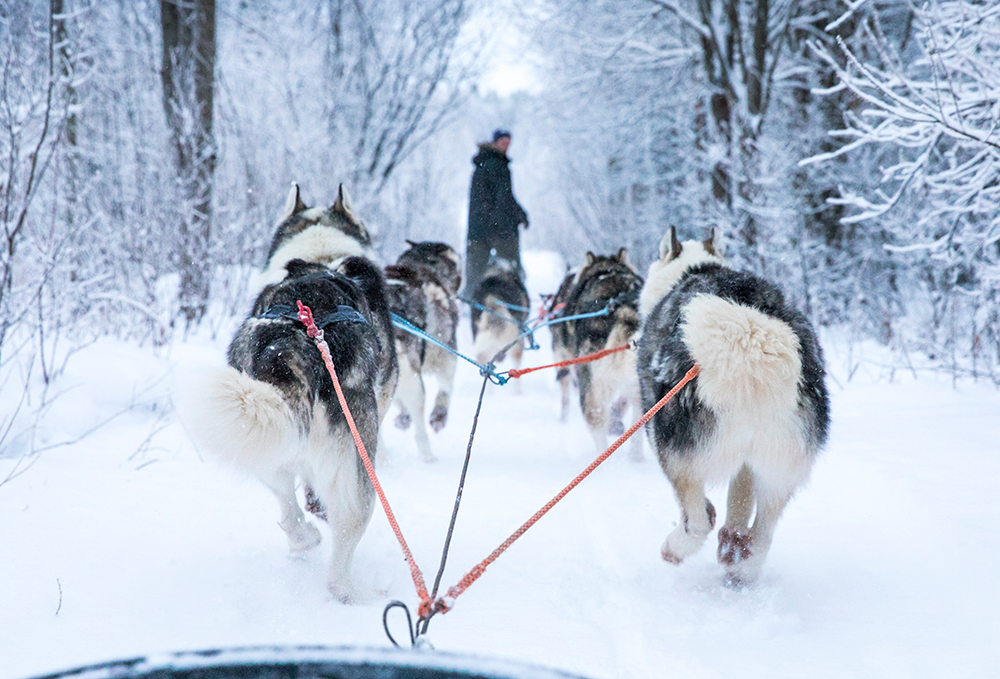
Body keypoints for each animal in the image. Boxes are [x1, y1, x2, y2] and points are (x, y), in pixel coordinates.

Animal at [180, 183, 398, 604]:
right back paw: (353, 593)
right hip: (360, 462)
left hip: (261, 436)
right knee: (346, 533)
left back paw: (305, 538)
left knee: (286, 500)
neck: (320, 257)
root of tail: (295, 338)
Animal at [384, 240, 462, 462]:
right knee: (420, 428)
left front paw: (403, 417)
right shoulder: (447, 356)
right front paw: (439, 415)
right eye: (457, 263)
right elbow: (446, 389)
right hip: (414, 382)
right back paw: (428, 456)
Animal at [636, 227, 832, 584]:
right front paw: (733, 537)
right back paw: (741, 563)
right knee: (764, 533)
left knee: (698, 521)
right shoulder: (748, 460)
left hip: (673, 443)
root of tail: (752, 335)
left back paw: (677, 547)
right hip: (782, 463)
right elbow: (740, 498)